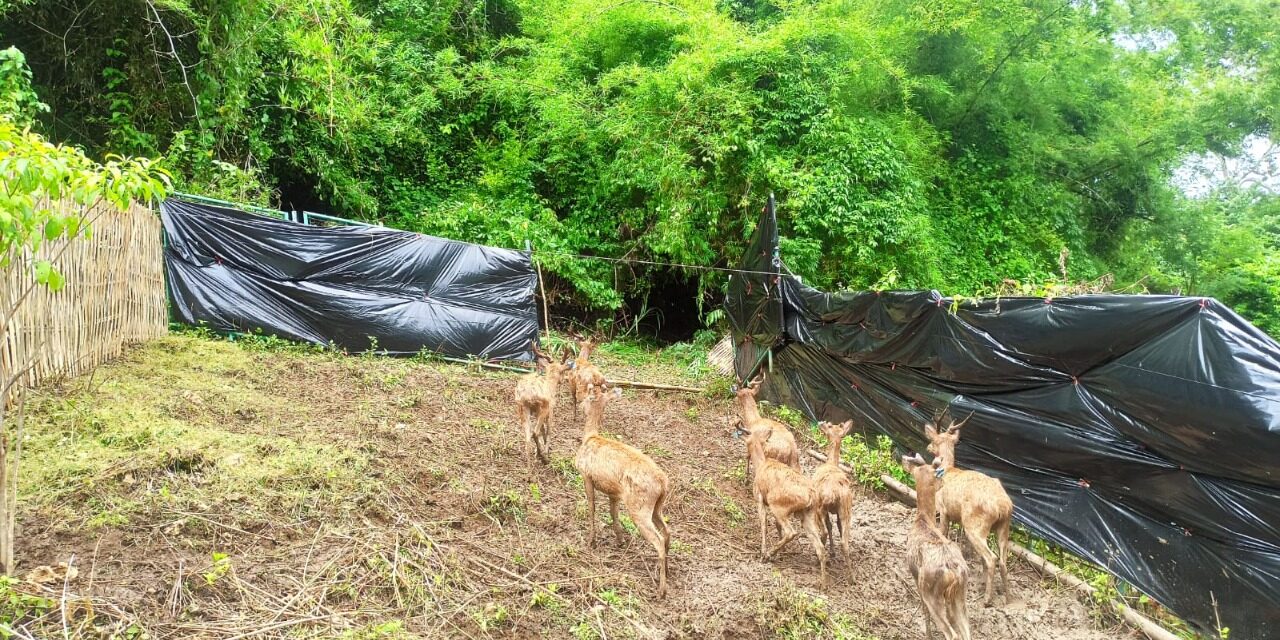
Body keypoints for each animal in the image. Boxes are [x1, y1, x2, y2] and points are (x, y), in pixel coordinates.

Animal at [570, 381, 670, 596]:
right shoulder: (613, 492)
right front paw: (620, 539)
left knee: (658, 539)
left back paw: (661, 589)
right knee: (667, 532)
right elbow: (613, 513)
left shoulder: (586, 475)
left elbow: (592, 507)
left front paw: (591, 540)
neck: (590, 437)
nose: (581, 405)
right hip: (657, 506)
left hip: (639, 506)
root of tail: (663, 483)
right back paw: (665, 570)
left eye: (588, 397)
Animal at [747, 424, 824, 586]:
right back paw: (824, 584)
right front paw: (780, 552)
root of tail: (811, 495)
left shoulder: (759, 497)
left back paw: (768, 555)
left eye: (747, 441)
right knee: (820, 547)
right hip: (807, 514)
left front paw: (763, 552)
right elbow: (776, 526)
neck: (761, 464)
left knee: (791, 532)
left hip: (778, 505)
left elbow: (763, 524)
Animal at [814, 422, 855, 563]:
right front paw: (832, 552)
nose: (821, 423)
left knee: (824, 531)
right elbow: (836, 526)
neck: (831, 463)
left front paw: (831, 552)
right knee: (844, 542)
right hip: (845, 508)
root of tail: (833, 494)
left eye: (829, 425)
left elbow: (829, 526)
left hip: (820, 507)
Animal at [901, 453, 967, 640]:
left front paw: (928, 634)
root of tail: (953, 572)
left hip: (931, 591)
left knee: (952, 633)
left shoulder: (914, 574)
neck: (923, 518)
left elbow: (924, 610)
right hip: (960, 594)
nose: (942, 483)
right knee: (966, 630)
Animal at [926, 409, 1013, 604]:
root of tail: (1003, 506)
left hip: (975, 525)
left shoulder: (943, 509)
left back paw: (987, 599)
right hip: (1004, 527)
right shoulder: (956, 517)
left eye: (934, 440)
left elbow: (942, 534)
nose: (928, 447)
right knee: (1003, 561)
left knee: (991, 558)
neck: (946, 470)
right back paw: (1008, 598)